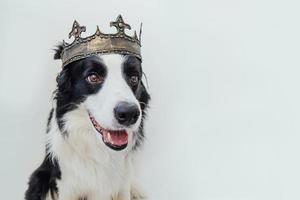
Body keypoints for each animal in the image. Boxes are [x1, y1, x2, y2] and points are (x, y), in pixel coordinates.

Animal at [24, 45, 150, 200]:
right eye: (93, 77)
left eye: (134, 78)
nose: (129, 113)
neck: (100, 151)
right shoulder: (66, 186)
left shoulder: (123, 184)